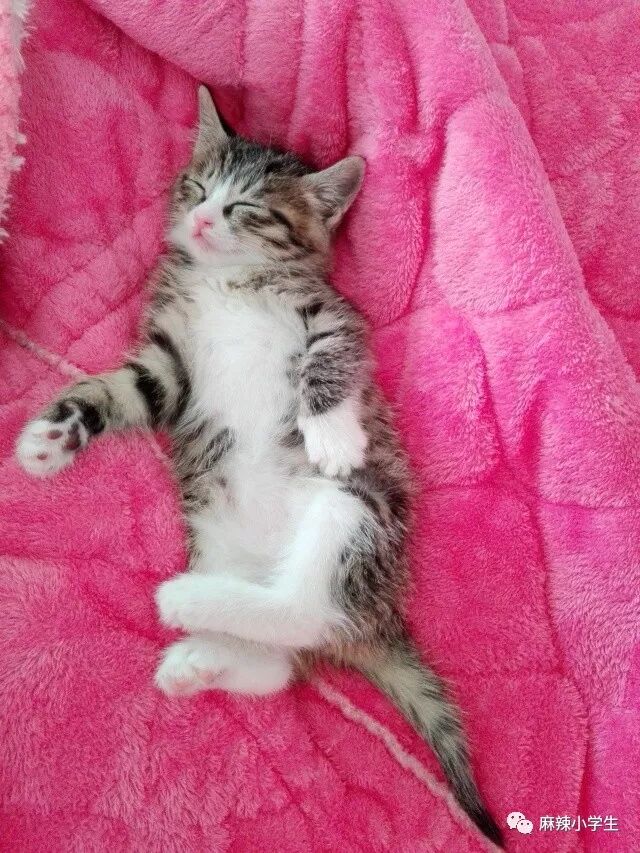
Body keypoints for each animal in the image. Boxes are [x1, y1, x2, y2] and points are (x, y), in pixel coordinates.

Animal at [16, 87, 502, 847]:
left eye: (246, 207)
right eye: (196, 188)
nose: (201, 217)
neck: (228, 281)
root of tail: (378, 615)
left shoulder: (334, 315)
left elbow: (327, 357)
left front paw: (330, 429)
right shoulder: (171, 361)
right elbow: (123, 391)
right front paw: (52, 437)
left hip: (357, 510)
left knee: (306, 612)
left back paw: (185, 605)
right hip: (219, 538)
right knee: (279, 659)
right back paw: (200, 654)